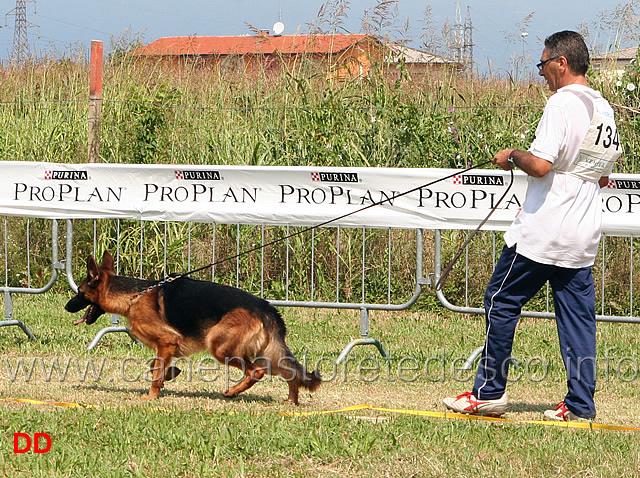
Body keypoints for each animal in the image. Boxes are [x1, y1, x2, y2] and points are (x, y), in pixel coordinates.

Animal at [66, 250, 320, 404]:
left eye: (79, 292)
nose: (67, 307)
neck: (133, 297)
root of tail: (265, 307)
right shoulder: (166, 347)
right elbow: (155, 366)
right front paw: (170, 375)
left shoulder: (167, 341)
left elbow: (155, 371)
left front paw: (151, 396)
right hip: (266, 352)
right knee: (291, 372)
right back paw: (291, 401)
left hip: (220, 347)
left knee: (256, 371)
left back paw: (232, 392)